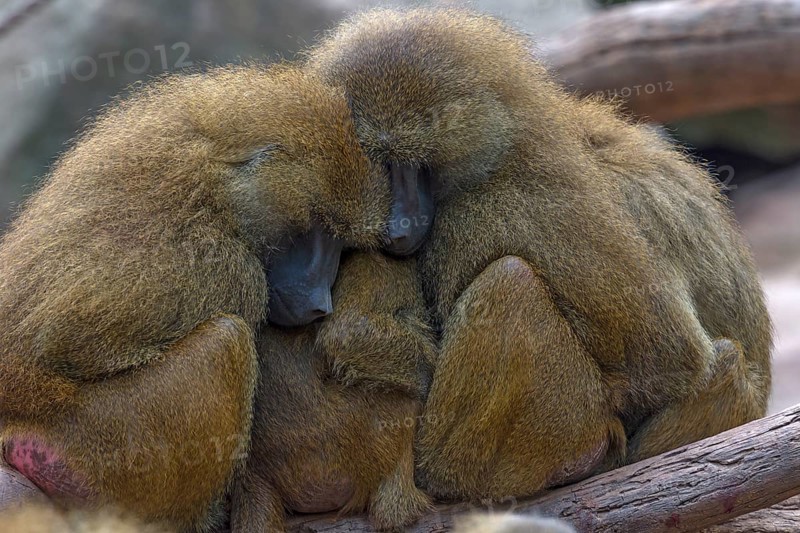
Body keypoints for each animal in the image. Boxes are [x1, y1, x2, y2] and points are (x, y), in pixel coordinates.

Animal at [0, 64, 394, 531]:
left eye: (340, 242)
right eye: (316, 227)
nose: (321, 302)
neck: (214, 187)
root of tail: (20, 427)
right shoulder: (230, 270)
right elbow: (70, 344)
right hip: (102, 449)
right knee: (227, 342)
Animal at [306, 7, 772, 501]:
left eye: (406, 161)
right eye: (374, 163)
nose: (396, 229)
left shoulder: (509, 208)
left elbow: (665, 357)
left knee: (512, 283)